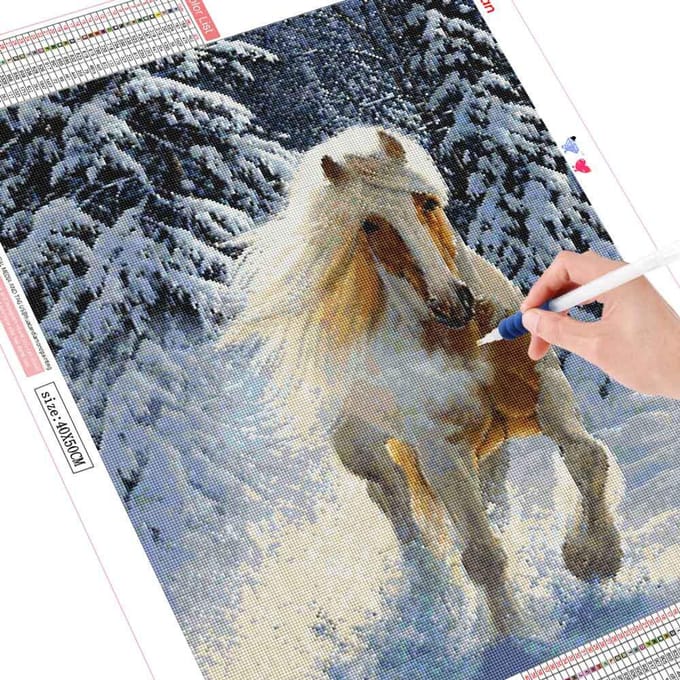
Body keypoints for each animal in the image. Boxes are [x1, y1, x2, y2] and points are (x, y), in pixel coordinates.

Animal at [220, 125, 623, 633]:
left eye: (426, 201)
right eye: (370, 225)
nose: (454, 302)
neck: (463, 342)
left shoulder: (544, 390)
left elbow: (587, 459)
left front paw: (593, 558)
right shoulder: (438, 449)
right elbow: (481, 554)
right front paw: (514, 636)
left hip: (488, 448)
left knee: (488, 498)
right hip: (367, 451)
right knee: (395, 503)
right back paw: (429, 588)